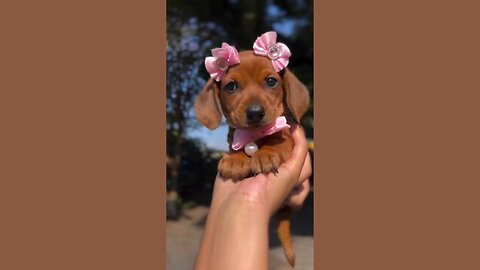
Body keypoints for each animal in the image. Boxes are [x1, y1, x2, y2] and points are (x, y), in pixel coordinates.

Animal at [193, 32, 310, 266]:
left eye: (271, 81)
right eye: (231, 86)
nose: (255, 112)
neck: (254, 137)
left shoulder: (289, 136)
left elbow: (278, 141)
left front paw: (266, 155)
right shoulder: (235, 137)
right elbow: (236, 144)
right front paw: (235, 159)